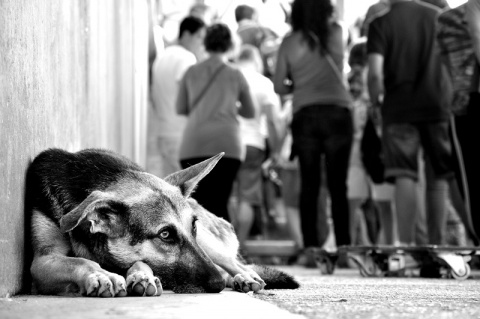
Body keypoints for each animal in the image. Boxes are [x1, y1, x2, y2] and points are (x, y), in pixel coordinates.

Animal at [27, 149, 300, 298]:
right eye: (166, 234)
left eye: (192, 227)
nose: (217, 286)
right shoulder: (43, 260)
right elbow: (80, 261)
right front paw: (102, 273)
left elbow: (139, 261)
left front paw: (141, 275)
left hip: (210, 245)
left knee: (234, 263)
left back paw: (243, 277)